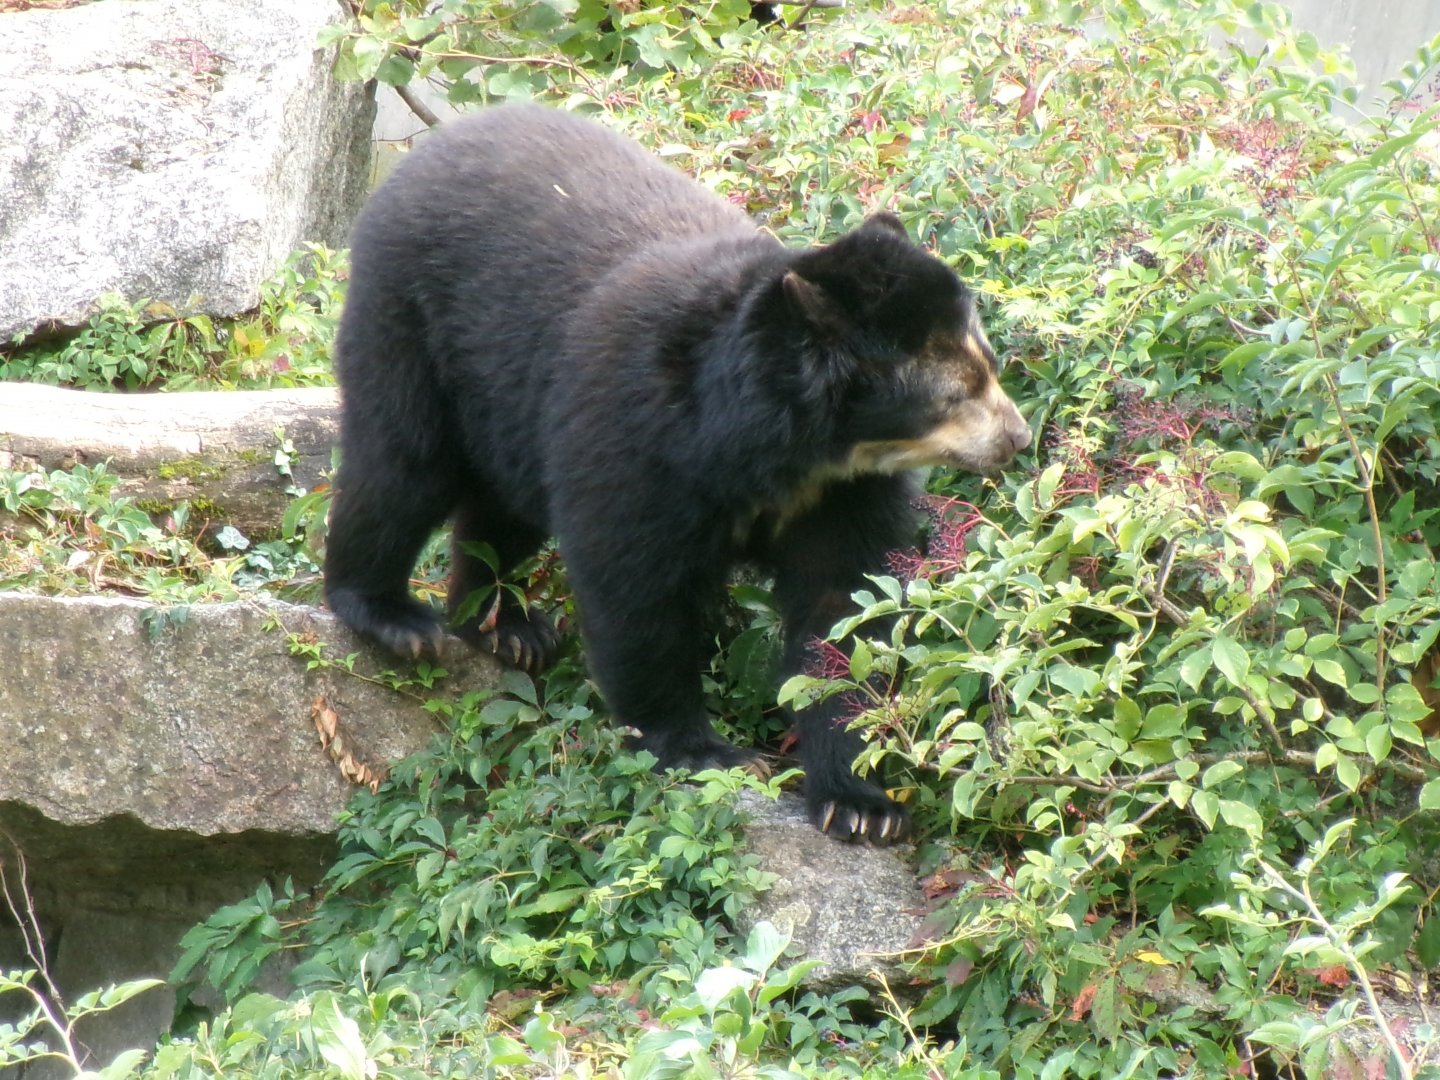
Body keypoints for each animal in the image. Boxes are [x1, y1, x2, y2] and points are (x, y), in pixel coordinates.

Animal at [323, 103, 1031, 844]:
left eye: (988, 362)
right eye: (955, 393)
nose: (1017, 438)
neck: (787, 448)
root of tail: (432, 147)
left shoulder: (841, 493)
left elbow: (843, 609)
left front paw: (860, 804)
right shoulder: (640, 440)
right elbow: (638, 592)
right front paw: (705, 751)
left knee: (499, 509)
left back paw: (507, 627)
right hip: (409, 316)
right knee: (402, 464)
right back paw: (395, 617)